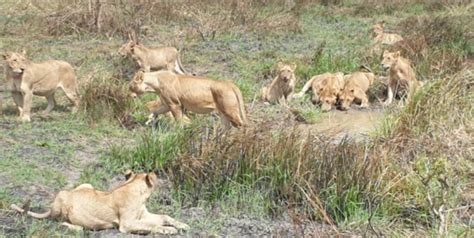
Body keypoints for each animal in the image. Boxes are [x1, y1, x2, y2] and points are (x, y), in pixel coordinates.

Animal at [11, 171, 189, 234]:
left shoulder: (142, 216)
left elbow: (165, 216)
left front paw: (183, 225)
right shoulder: (127, 224)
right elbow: (151, 225)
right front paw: (169, 230)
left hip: (86, 184)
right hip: (62, 200)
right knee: (59, 221)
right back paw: (75, 227)